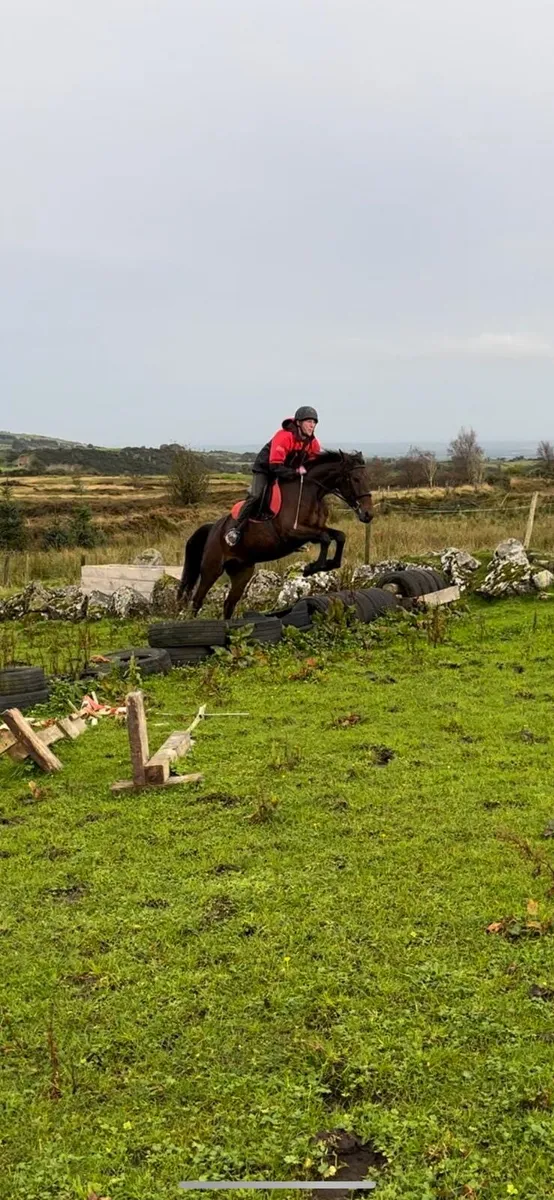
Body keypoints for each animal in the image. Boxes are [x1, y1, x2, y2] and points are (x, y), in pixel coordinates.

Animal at [177, 450, 374, 619]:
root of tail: (213, 528)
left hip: (242, 571)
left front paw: (329, 564)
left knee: (229, 603)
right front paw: (313, 568)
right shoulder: (293, 532)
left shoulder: (317, 529)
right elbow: (326, 538)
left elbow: (339, 536)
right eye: (356, 479)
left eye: (367, 477)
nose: (368, 514)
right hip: (212, 569)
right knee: (197, 601)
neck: (311, 492)